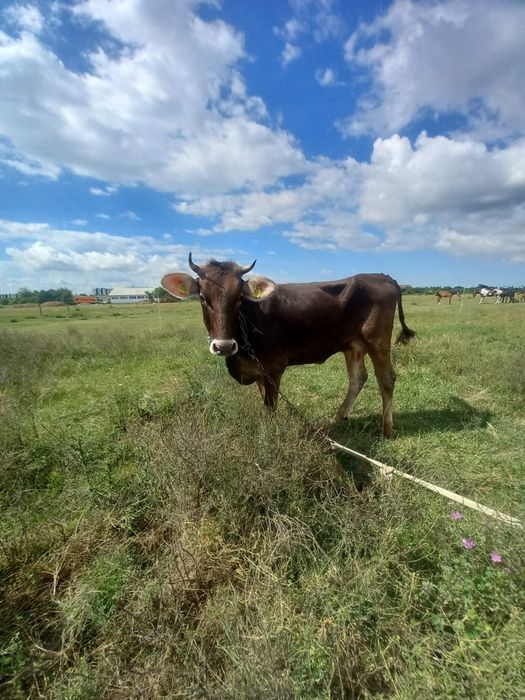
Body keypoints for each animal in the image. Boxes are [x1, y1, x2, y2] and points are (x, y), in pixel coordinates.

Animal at [161, 254, 415, 437]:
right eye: (203, 297)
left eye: (239, 298)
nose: (223, 346)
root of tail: (381, 276)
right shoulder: (259, 371)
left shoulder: (274, 368)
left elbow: (270, 408)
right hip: (353, 345)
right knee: (358, 378)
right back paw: (338, 418)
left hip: (377, 340)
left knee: (386, 379)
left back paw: (386, 430)